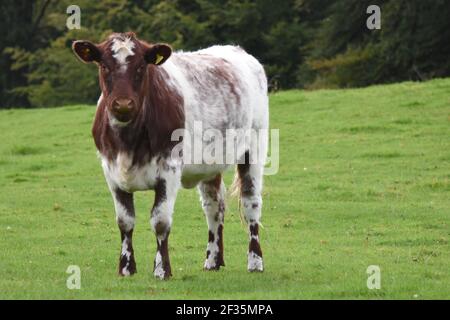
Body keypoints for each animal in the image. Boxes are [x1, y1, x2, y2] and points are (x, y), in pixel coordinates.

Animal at [71, 31, 268, 278]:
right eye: (104, 66)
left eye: (141, 67)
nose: (123, 104)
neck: (128, 142)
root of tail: (236, 49)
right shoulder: (111, 171)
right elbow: (125, 221)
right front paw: (126, 268)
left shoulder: (169, 170)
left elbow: (160, 220)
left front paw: (162, 269)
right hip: (210, 164)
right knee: (214, 207)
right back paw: (213, 260)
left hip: (255, 147)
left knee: (251, 203)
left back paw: (255, 262)